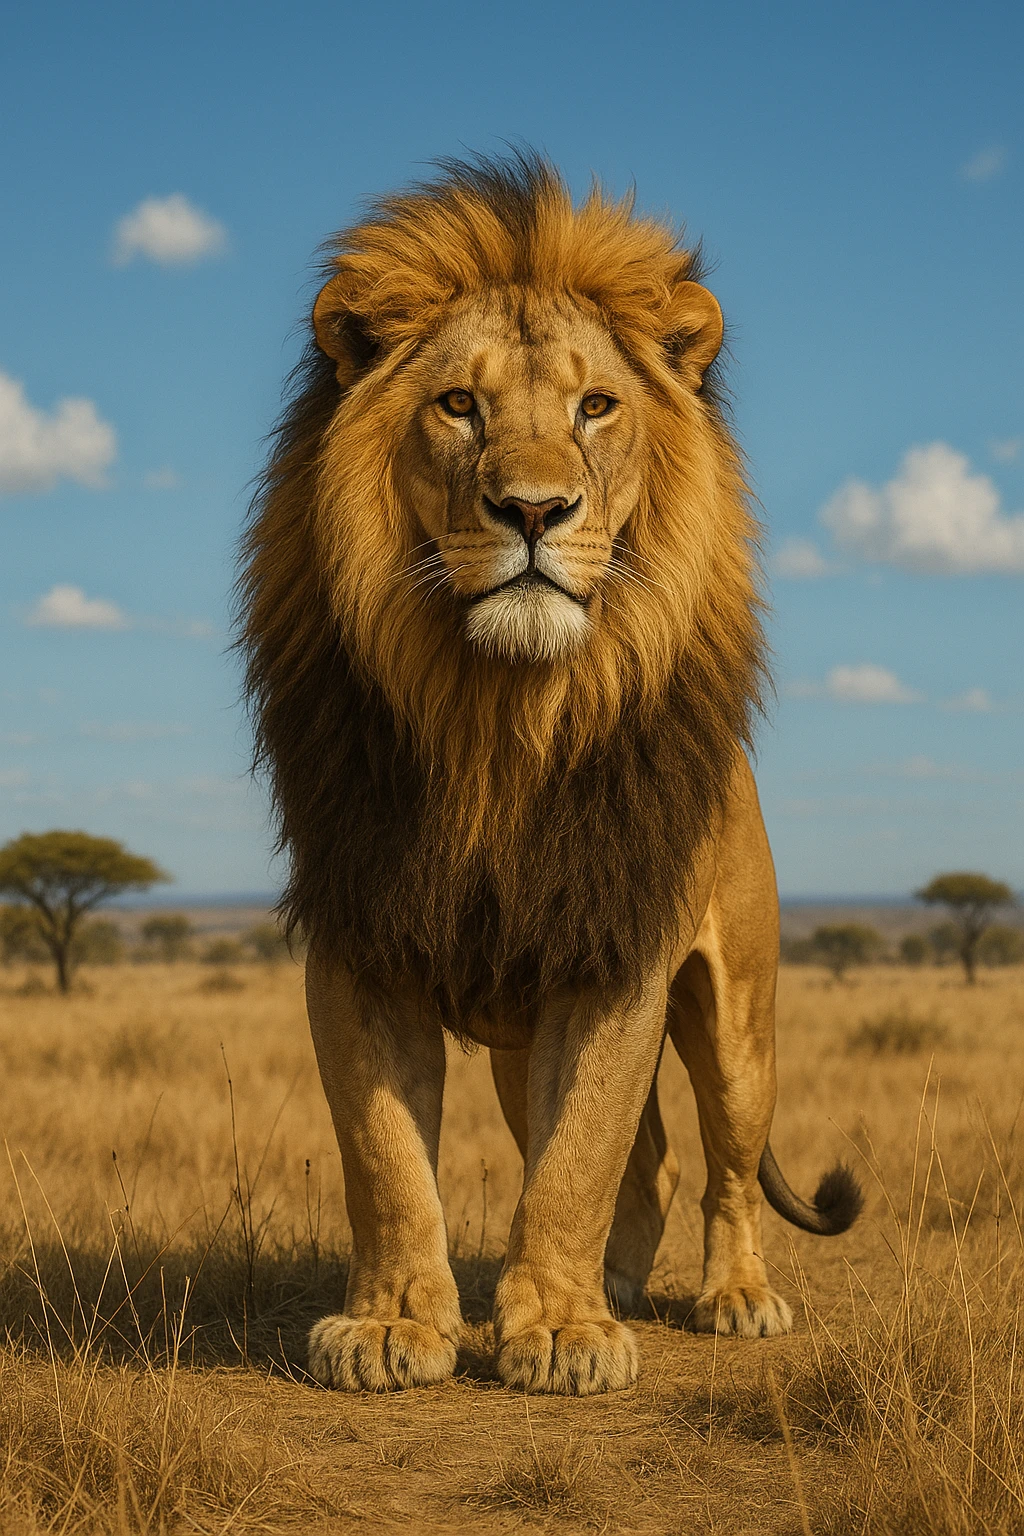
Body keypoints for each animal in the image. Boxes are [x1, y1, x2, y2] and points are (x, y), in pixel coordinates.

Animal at [240, 152, 861, 1396]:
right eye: (459, 405)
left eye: (594, 406)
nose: (533, 509)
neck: (500, 716)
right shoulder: (360, 937)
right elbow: (385, 1157)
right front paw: (393, 1325)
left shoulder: (611, 947)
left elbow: (578, 1159)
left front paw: (564, 1334)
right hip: (515, 1046)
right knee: (654, 1162)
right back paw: (615, 1281)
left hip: (741, 1018)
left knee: (723, 1163)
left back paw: (734, 1298)